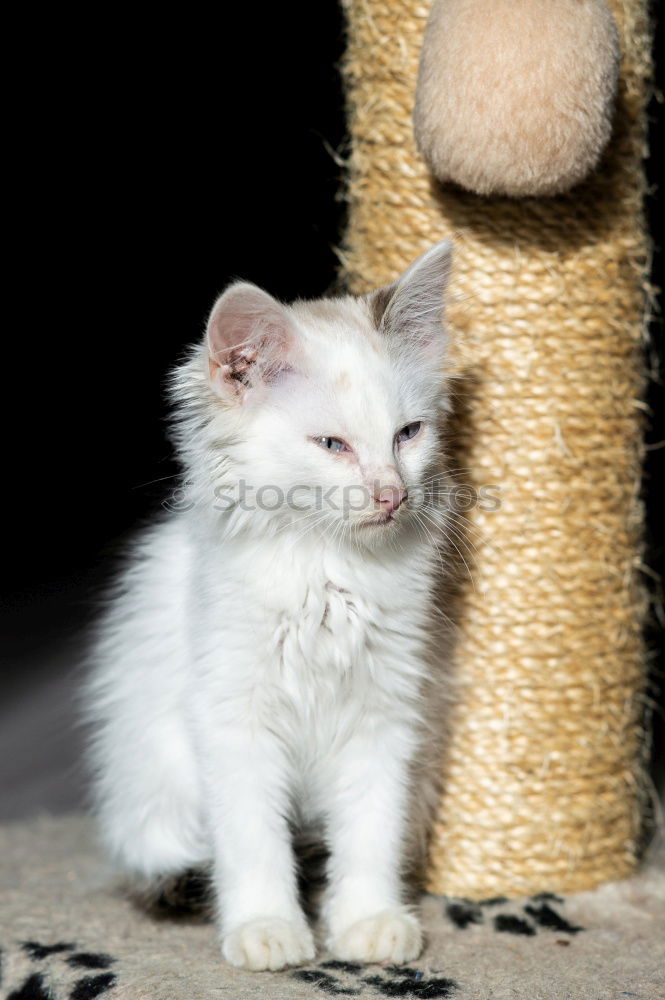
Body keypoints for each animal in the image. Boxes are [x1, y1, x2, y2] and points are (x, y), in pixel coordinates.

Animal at [83, 238, 454, 972]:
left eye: (407, 434)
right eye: (332, 445)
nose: (392, 494)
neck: (329, 571)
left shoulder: (386, 713)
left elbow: (370, 830)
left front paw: (367, 921)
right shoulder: (233, 715)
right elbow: (254, 839)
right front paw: (268, 929)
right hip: (156, 792)